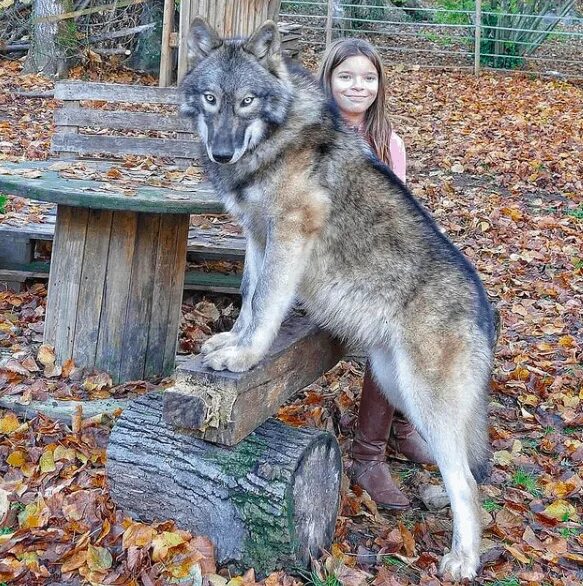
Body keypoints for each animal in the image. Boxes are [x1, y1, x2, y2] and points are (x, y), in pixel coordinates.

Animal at [181, 18, 498, 580]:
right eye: (212, 98)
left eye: (246, 101)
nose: (221, 153)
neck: (277, 139)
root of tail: (485, 311)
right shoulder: (257, 237)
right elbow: (249, 299)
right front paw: (230, 343)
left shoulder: (288, 233)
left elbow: (266, 306)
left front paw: (244, 357)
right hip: (397, 386)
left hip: (425, 399)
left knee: (468, 483)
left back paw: (463, 560)